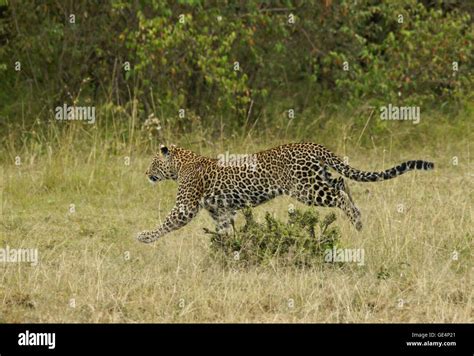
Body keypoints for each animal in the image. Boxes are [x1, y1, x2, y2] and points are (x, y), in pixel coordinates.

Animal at [136, 143, 434, 243]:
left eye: (152, 162)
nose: (146, 173)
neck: (181, 164)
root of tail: (313, 145)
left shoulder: (185, 207)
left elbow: (166, 223)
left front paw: (143, 237)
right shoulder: (221, 211)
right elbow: (224, 230)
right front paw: (226, 249)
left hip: (306, 188)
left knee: (338, 195)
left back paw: (357, 219)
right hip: (318, 178)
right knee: (341, 183)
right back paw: (358, 216)